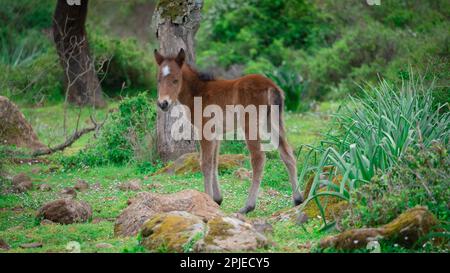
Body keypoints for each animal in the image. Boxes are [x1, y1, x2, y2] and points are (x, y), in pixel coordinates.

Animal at [153, 48, 304, 212]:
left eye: (175, 80)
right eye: (159, 80)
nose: (163, 103)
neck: (198, 92)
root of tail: (271, 86)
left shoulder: (205, 131)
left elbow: (205, 163)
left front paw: (208, 198)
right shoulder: (216, 133)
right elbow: (214, 162)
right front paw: (217, 199)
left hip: (251, 126)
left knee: (258, 159)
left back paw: (248, 206)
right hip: (273, 123)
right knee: (287, 154)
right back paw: (298, 199)